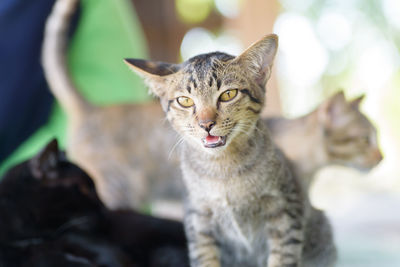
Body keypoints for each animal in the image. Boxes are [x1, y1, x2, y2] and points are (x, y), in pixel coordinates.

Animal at [126, 34, 338, 266]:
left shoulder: (286, 210)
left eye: (228, 94)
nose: (206, 124)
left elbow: (282, 257)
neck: (223, 170)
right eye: (185, 101)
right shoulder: (198, 221)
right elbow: (205, 258)